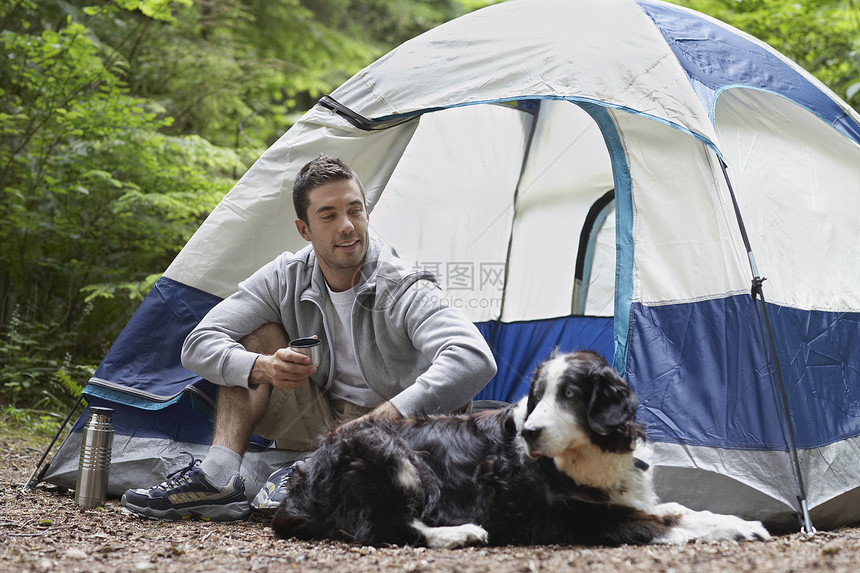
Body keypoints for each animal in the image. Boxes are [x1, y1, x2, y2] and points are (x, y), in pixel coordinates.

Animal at [272, 348, 768, 544]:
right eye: (538, 394)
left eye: (570, 394)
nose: (529, 433)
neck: (585, 455)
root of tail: (306, 472)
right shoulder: (583, 518)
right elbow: (669, 523)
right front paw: (740, 528)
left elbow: (683, 510)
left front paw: (741, 523)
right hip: (394, 455)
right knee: (386, 529)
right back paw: (461, 533)